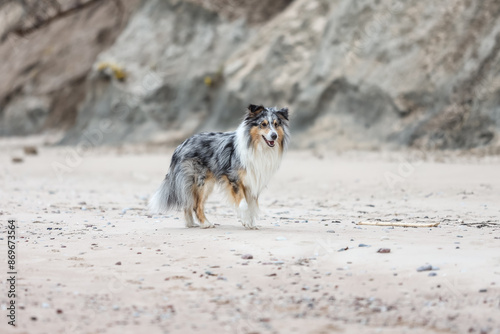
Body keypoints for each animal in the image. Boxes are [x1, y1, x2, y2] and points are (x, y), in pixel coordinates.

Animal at [148, 104, 290, 230]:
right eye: (263, 124)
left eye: (276, 124)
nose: (274, 135)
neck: (256, 146)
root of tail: (180, 145)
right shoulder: (234, 179)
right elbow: (244, 204)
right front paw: (246, 221)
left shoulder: (252, 181)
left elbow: (252, 206)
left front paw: (251, 223)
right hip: (201, 182)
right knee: (196, 205)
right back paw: (205, 223)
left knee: (188, 202)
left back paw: (191, 223)